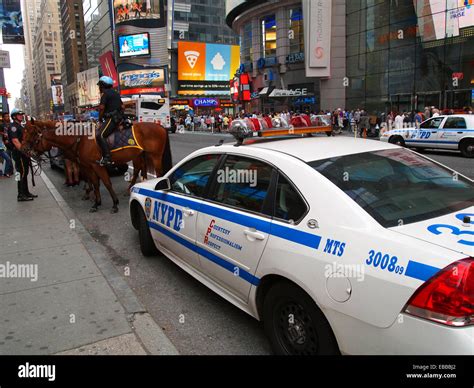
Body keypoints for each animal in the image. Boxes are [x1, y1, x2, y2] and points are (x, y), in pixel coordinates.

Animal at [23, 120, 172, 214]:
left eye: (32, 133)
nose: (24, 150)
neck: (79, 139)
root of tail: (160, 126)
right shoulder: (87, 165)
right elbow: (94, 182)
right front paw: (96, 202)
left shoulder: (96, 165)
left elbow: (106, 182)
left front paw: (114, 204)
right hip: (141, 155)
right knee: (140, 169)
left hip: (154, 156)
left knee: (157, 174)